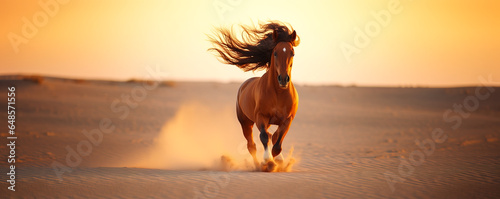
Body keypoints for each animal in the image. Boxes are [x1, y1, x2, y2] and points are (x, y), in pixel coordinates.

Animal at [208, 21, 298, 171]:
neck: (278, 93)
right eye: (275, 53)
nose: (283, 79)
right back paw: (257, 165)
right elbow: (264, 137)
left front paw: (277, 161)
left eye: (292, 53)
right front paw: (268, 161)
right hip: (246, 123)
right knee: (252, 145)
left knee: (271, 137)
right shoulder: (260, 117)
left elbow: (277, 142)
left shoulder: (287, 120)